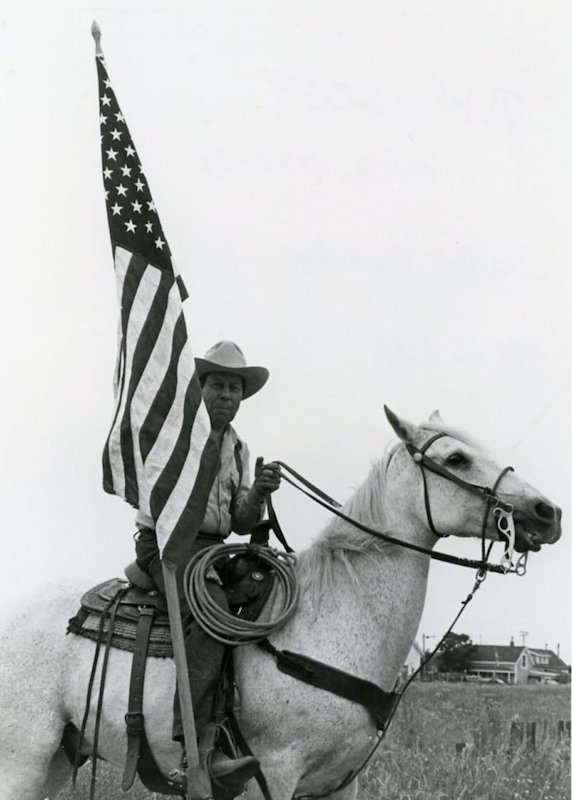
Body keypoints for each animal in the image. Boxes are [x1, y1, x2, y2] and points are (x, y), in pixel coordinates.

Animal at [0, 410, 564, 800]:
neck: (332, 619)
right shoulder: (272, 774)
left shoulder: (340, 784)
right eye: (456, 459)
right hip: (22, 759)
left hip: (59, 757)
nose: (548, 512)